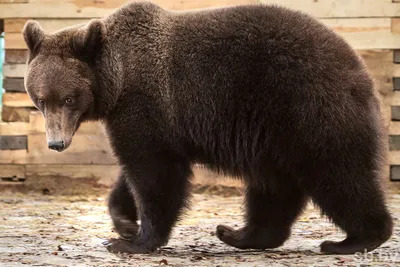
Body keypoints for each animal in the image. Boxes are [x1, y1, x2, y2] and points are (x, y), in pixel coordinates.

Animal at [21, 0, 390, 256]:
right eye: (41, 99)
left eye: (68, 98)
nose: (56, 143)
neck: (117, 79)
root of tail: (360, 70)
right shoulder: (142, 118)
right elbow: (135, 171)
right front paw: (124, 223)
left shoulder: (146, 105)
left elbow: (154, 173)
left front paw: (133, 241)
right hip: (274, 133)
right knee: (273, 185)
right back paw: (239, 234)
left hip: (308, 109)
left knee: (339, 175)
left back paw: (355, 239)